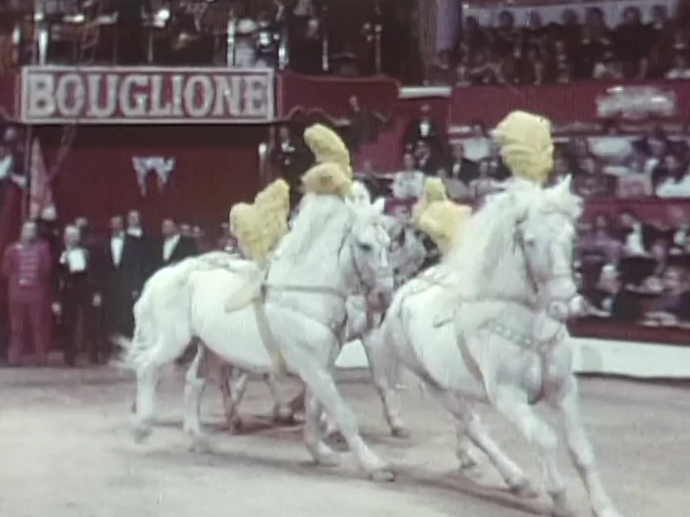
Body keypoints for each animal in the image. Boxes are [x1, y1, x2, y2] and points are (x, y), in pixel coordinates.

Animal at [121, 192, 396, 480]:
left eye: (388, 244)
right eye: (364, 246)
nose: (384, 297)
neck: (304, 296)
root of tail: (165, 275)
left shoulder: (321, 367)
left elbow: (315, 407)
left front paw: (320, 452)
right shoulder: (311, 366)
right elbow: (342, 413)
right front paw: (375, 466)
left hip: (210, 348)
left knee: (193, 382)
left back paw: (199, 439)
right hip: (173, 342)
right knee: (147, 367)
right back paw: (142, 426)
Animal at [366, 177, 624, 516]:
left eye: (571, 235)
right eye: (530, 241)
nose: (567, 304)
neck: (528, 324)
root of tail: (404, 292)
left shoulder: (563, 388)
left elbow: (581, 449)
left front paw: (605, 507)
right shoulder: (508, 396)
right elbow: (545, 439)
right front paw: (559, 500)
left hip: (456, 383)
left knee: (466, 424)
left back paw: (473, 462)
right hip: (434, 384)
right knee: (472, 425)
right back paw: (516, 479)